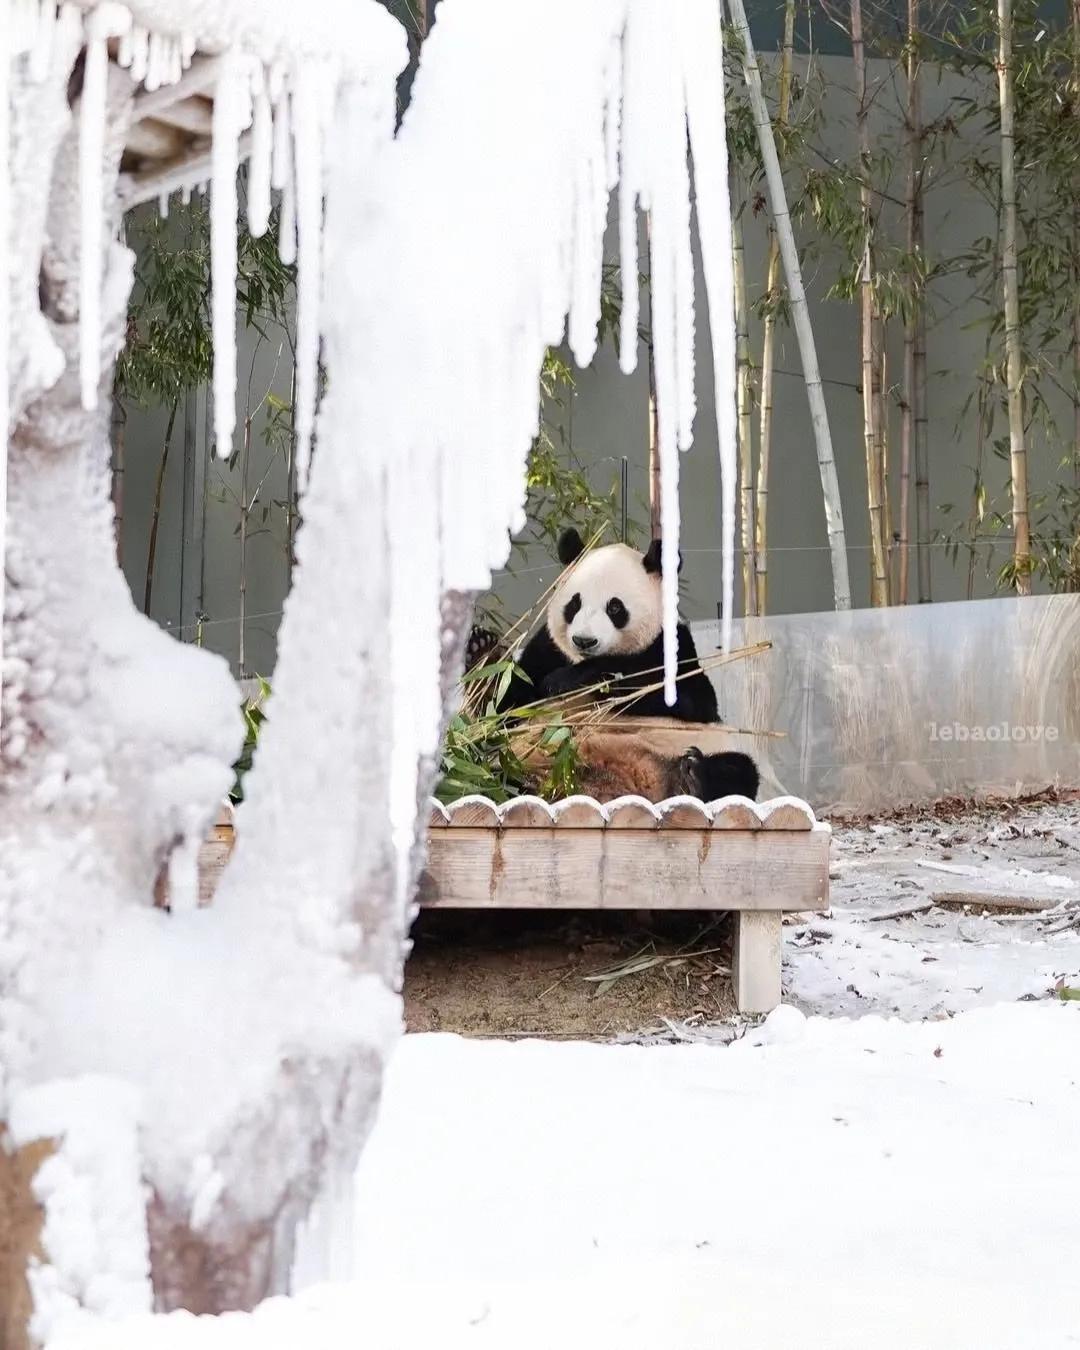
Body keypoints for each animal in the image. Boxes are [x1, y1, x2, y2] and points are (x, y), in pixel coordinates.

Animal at [491, 526, 761, 799]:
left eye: (615, 607)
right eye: (574, 603)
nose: (584, 641)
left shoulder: (675, 648)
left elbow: (690, 699)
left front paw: (572, 679)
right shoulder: (547, 649)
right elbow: (510, 699)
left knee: (737, 769)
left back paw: (692, 777)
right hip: (524, 760)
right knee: (500, 772)